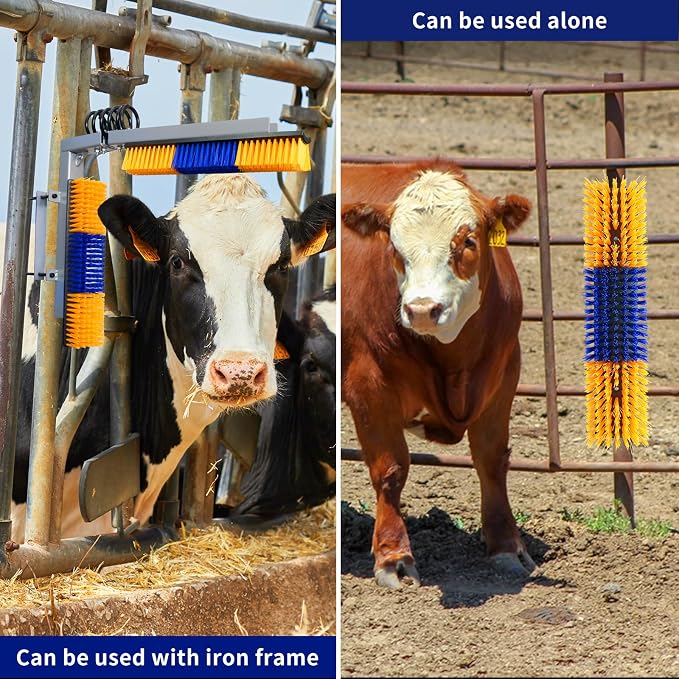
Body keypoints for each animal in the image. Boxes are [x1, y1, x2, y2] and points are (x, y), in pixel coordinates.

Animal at [341, 160, 535, 588]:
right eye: (395, 249)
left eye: (468, 242)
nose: (421, 310)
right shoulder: (368, 384)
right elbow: (390, 469)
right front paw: (394, 558)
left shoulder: (505, 374)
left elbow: (491, 459)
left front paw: (506, 546)